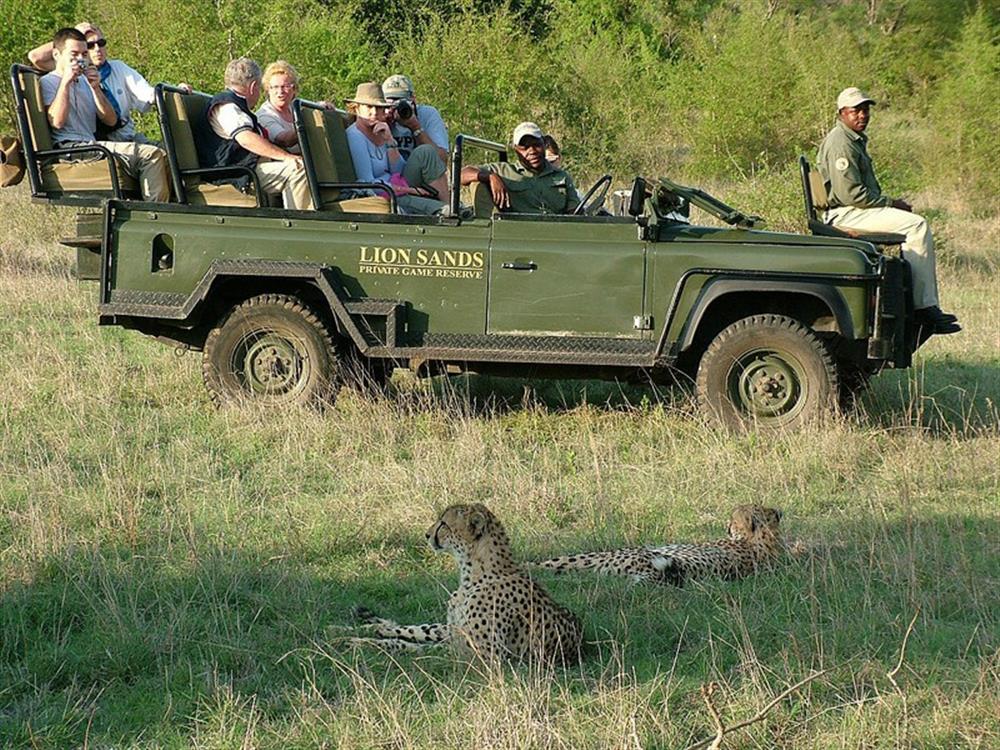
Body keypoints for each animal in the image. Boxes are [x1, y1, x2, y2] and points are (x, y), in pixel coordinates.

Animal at [348, 506, 584, 664]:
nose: (426, 535)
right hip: (445, 628)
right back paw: (363, 627)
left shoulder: (483, 656)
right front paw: (363, 641)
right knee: (412, 628)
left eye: (443, 524)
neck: (472, 576)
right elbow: (412, 642)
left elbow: (420, 649)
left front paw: (366, 644)